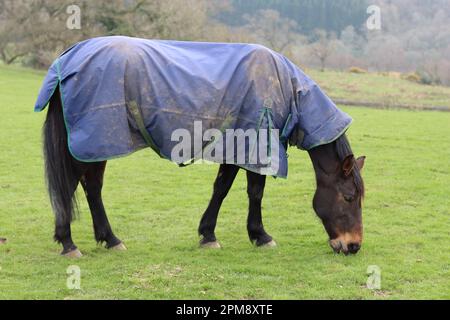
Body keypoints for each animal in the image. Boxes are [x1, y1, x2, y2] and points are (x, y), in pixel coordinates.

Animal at [35, 37, 366, 258]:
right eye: (349, 197)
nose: (353, 246)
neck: (285, 88)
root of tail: (69, 58)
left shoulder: (238, 147)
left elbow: (225, 188)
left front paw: (212, 234)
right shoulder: (252, 144)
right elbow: (249, 191)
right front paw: (256, 235)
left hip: (96, 144)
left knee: (90, 188)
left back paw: (107, 239)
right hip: (94, 142)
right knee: (77, 187)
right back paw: (71, 243)